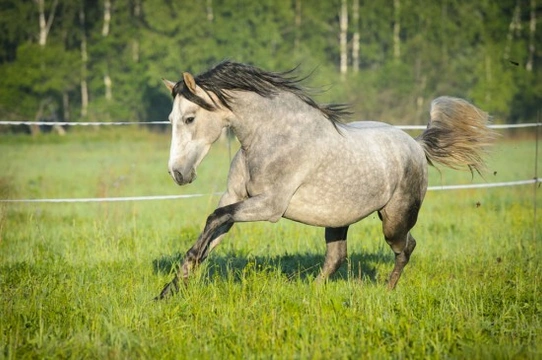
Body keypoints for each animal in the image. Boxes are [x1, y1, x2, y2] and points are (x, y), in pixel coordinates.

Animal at [157, 61, 498, 298]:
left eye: (190, 118)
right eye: (171, 119)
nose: (178, 173)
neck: (273, 138)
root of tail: (415, 144)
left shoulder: (270, 207)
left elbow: (215, 219)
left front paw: (181, 276)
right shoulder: (234, 197)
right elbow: (213, 228)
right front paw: (171, 288)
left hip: (394, 220)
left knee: (406, 247)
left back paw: (387, 291)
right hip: (337, 219)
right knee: (337, 257)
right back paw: (312, 293)